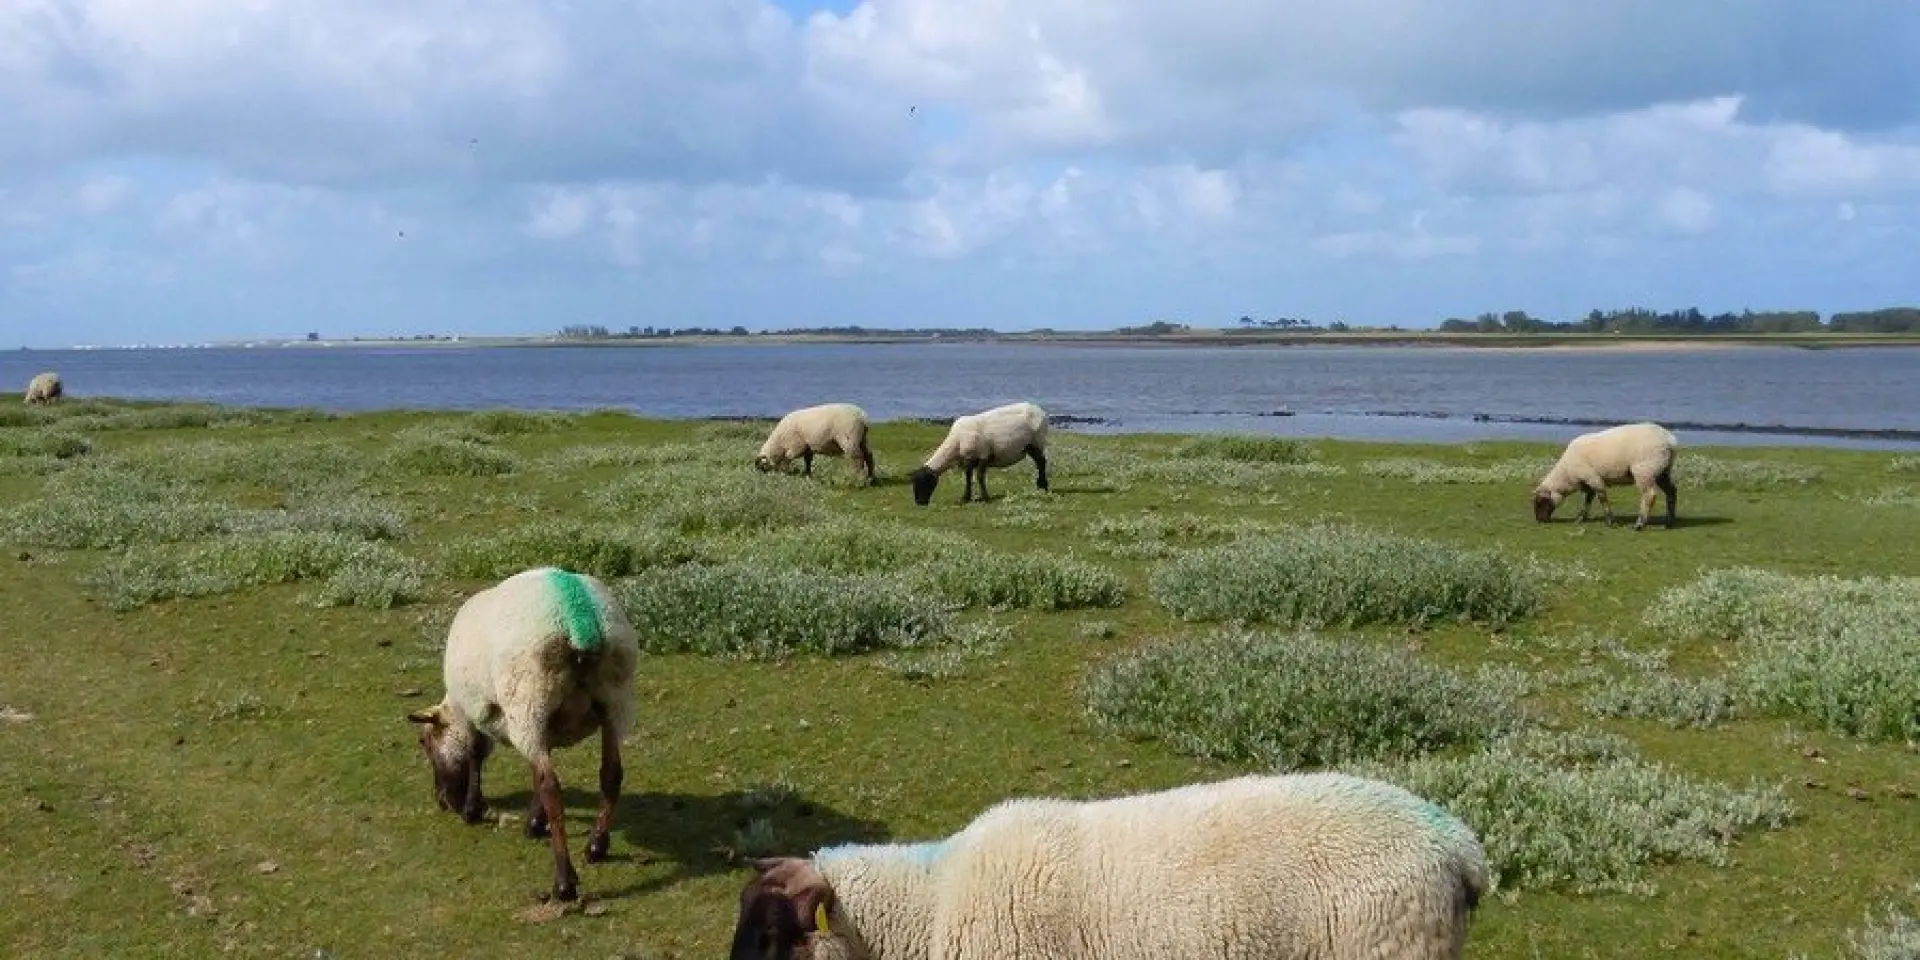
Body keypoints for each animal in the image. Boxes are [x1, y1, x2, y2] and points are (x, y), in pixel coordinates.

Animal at [404, 566, 639, 902]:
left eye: (424, 741)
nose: (442, 802)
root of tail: (580, 620)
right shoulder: (538, 727)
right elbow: (533, 766)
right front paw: (534, 819)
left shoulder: (476, 710)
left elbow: (476, 754)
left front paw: (472, 809)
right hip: (613, 700)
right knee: (610, 774)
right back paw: (596, 846)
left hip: (530, 698)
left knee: (552, 787)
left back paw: (564, 881)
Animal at [908, 401, 1049, 506]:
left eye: (925, 482)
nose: (920, 503)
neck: (956, 442)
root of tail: (1040, 410)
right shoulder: (968, 458)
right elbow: (968, 477)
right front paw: (965, 498)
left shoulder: (983, 455)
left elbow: (980, 477)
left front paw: (985, 498)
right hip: (1029, 446)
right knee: (1039, 462)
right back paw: (1040, 486)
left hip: (1037, 441)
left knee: (1041, 462)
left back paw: (1043, 487)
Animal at [1531, 421, 1679, 530]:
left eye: (1540, 502)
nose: (1540, 520)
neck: (1566, 473)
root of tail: (1670, 440)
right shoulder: (1587, 481)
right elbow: (1587, 500)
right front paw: (1580, 518)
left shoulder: (1592, 477)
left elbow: (1602, 497)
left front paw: (1610, 522)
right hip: (1663, 470)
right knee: (1671, 491)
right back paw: (1669, 522)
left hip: (1645, 470)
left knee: (1649, 496)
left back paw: (1639, 524)